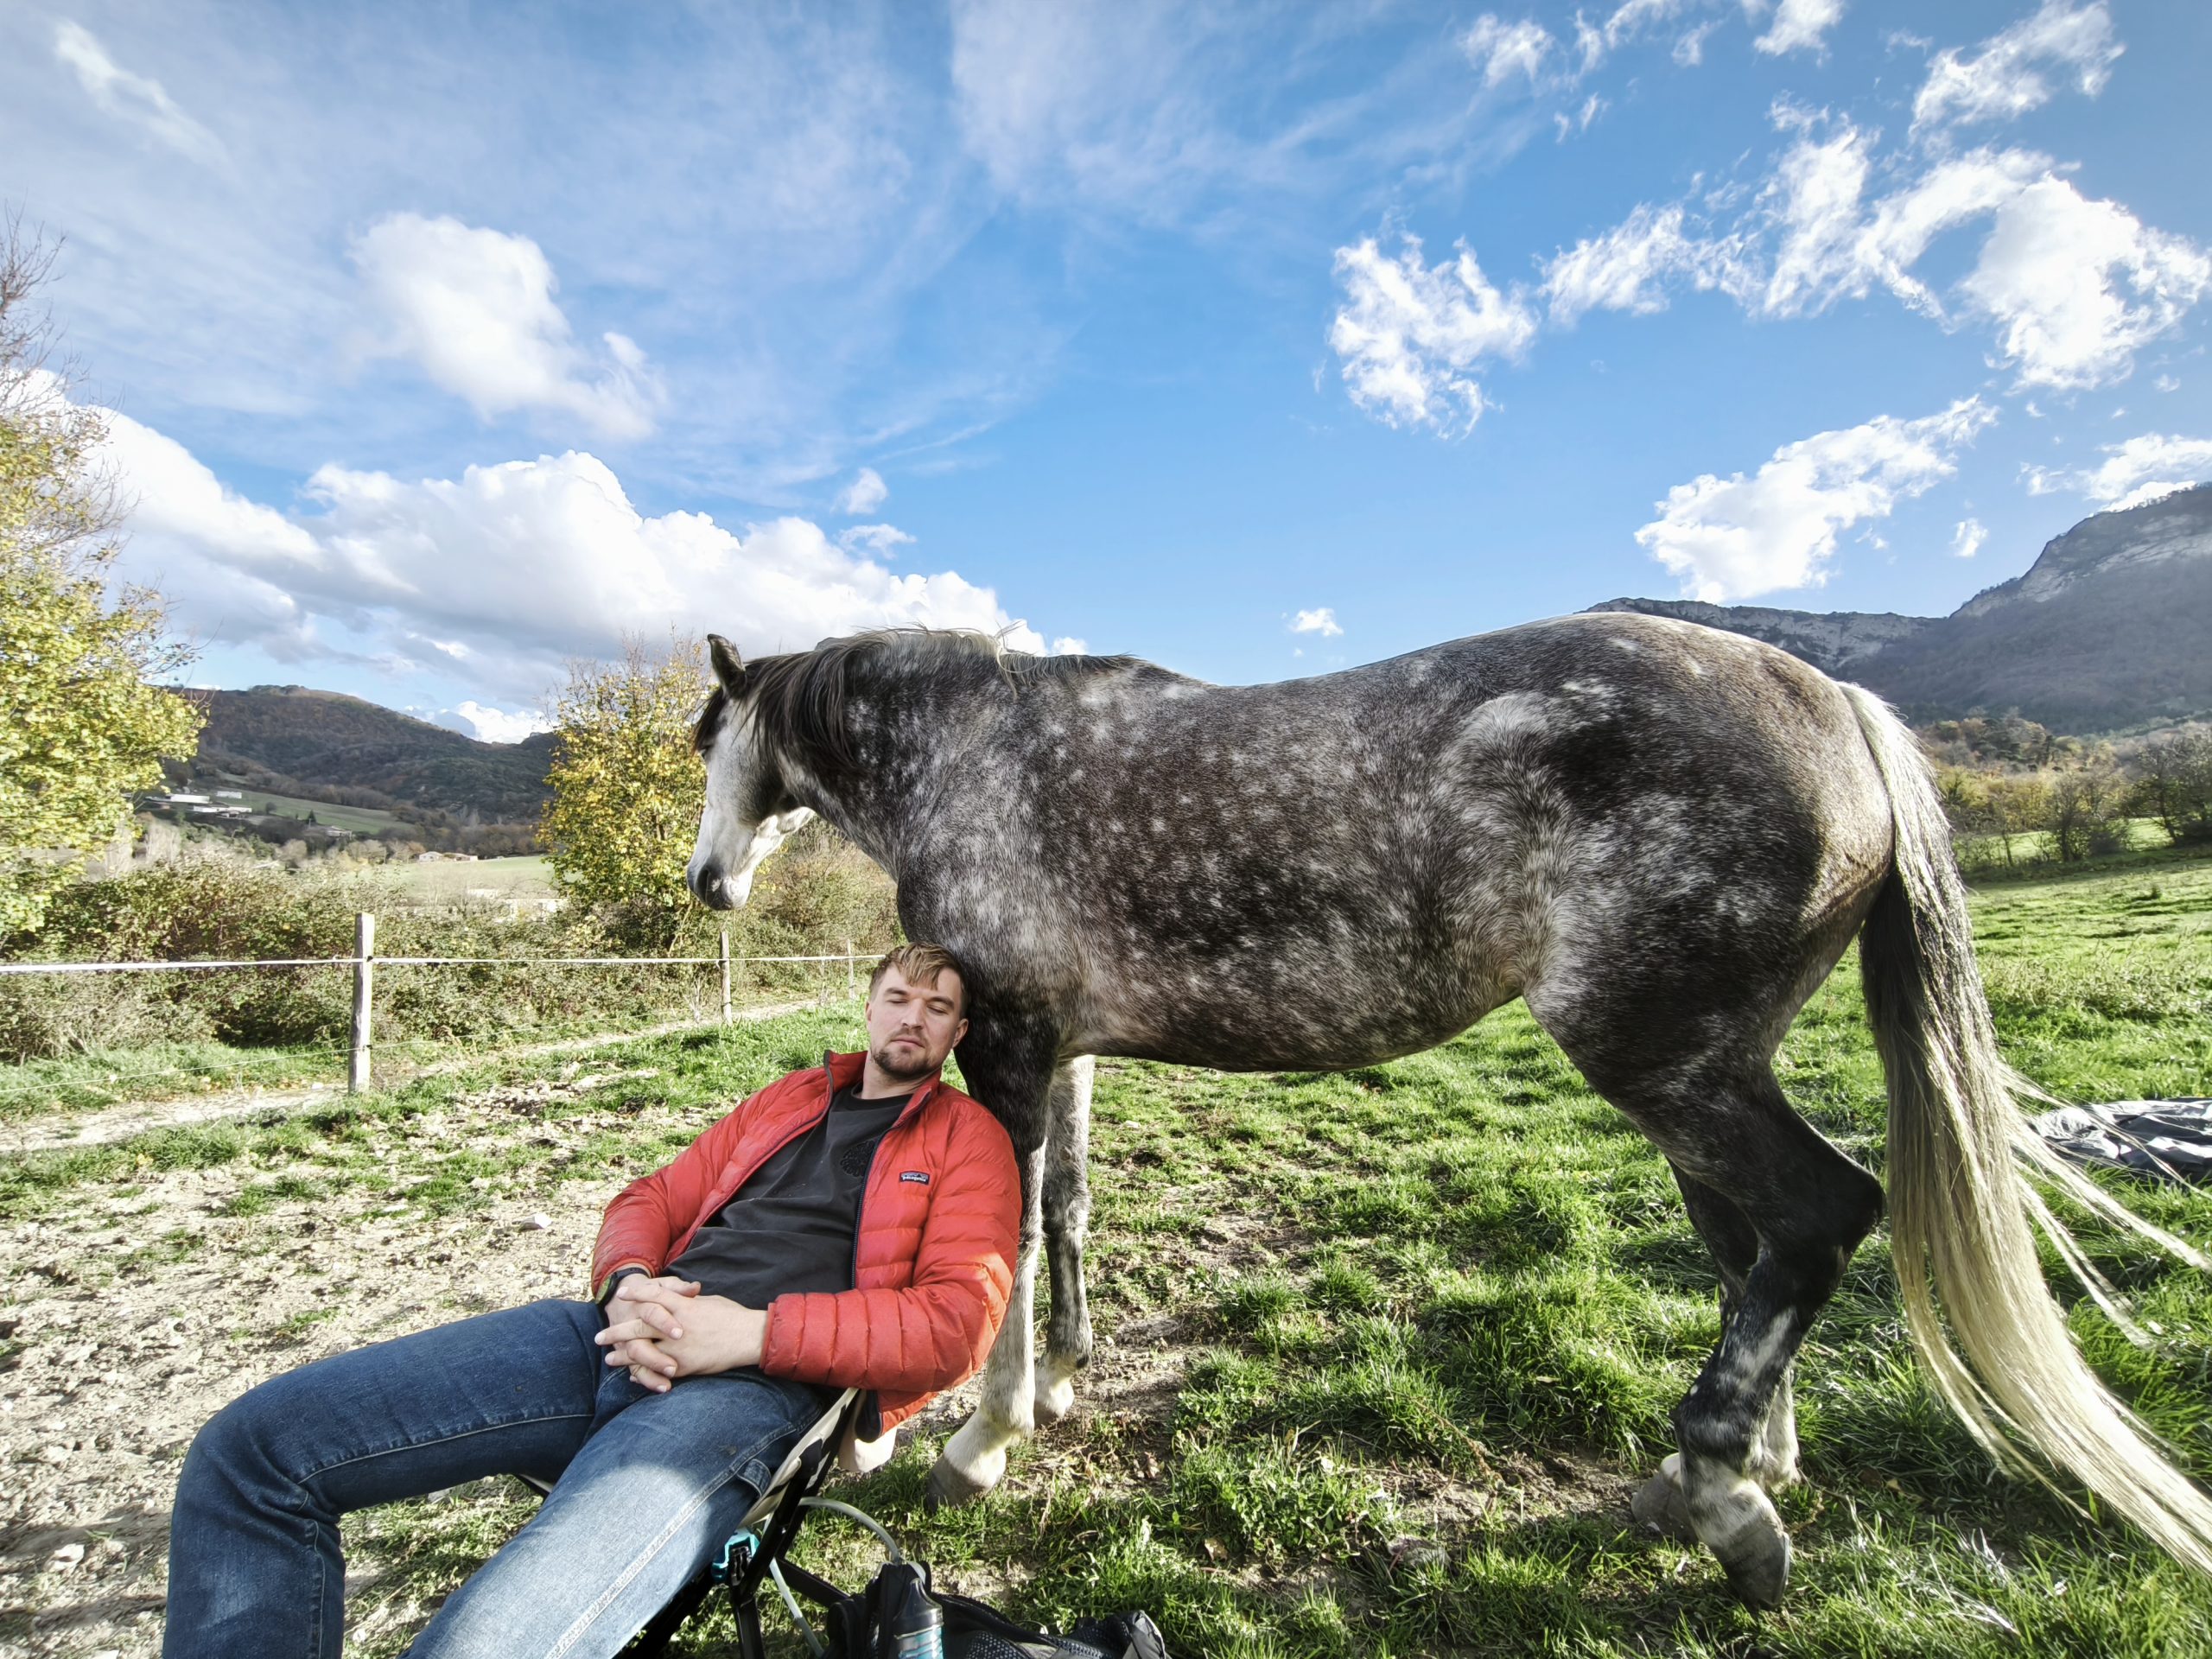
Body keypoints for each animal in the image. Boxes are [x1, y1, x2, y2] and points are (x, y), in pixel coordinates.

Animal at [682, 616, 2212, 1605]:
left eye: (711, 740)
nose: (710, 884)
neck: (974, 756)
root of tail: (1836, 702)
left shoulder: (1004, 1047)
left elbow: (1000, 1239)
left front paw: (983, 1440)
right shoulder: (1062, 1051)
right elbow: (1063, 1214)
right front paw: (1060, 1382)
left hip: (1662, 1065)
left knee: (1820, 1214)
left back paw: (1726, 1500)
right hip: (1706, 1074)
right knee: (1756, 1252)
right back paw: (1736, 1468)